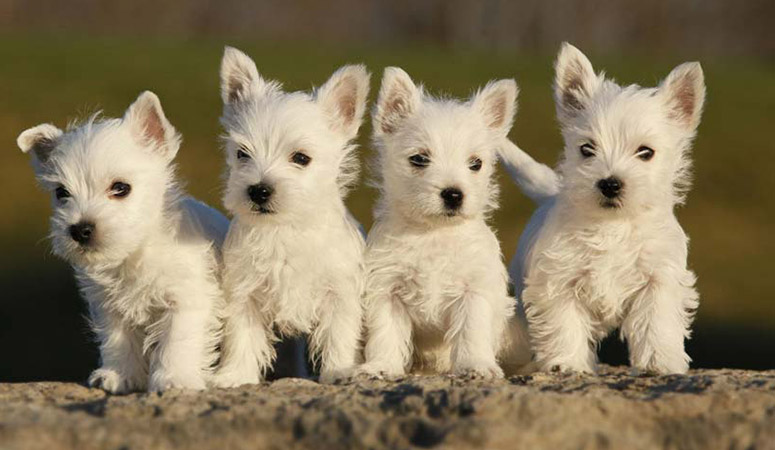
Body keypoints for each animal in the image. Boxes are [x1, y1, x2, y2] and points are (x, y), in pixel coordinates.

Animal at [18, 92, 229, 394]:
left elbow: (177, 340)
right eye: (61, 192)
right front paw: (119, 375)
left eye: (121, 188)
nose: (80, 229)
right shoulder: (110, 307)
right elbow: (118, 341)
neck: (134, 253)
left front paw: (174, 379)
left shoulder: (186, 299)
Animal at [212, 46, 370, 386]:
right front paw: (234, 376)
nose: (258, 190)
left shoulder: (339, 294)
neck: (284, 228)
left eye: (301, 158)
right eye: (242, 153)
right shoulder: (244, 294)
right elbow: (241, 338)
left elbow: (340, 336)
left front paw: (340, 371)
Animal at [356, 67, 528, 378]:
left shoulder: (473, 291)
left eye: (476, 163)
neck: (433, 233)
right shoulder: (388, 291)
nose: (453, 194)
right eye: (419, 159)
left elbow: (472, 331)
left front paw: (476, 365)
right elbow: (386, 333)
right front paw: (381, 366)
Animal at [500, 42, 708, 374]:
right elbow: (565, 323)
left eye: (646, 152)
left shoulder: (658, 279)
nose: (610, 184)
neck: (613, 225)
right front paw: (567, 363)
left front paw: (660, 362)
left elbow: (656, 322)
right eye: (587, 149)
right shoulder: (559, 281)